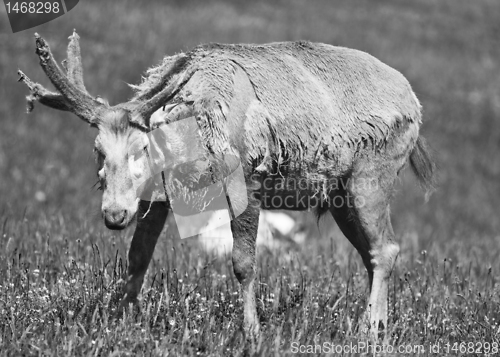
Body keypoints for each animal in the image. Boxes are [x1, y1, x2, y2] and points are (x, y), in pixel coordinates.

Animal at [18, 31, 434, 340]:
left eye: (142, 147)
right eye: (98, 150)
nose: (114, 213)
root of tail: (415, 105)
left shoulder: (248, 179)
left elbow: (243, 263)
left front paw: (251, 332)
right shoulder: (162, 196)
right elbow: (138, 256)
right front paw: (117, 320)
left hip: (373, 174)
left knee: (386, 248)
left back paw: (371, 330)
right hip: (338, 195)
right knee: (370, 252)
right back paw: (374, 325)